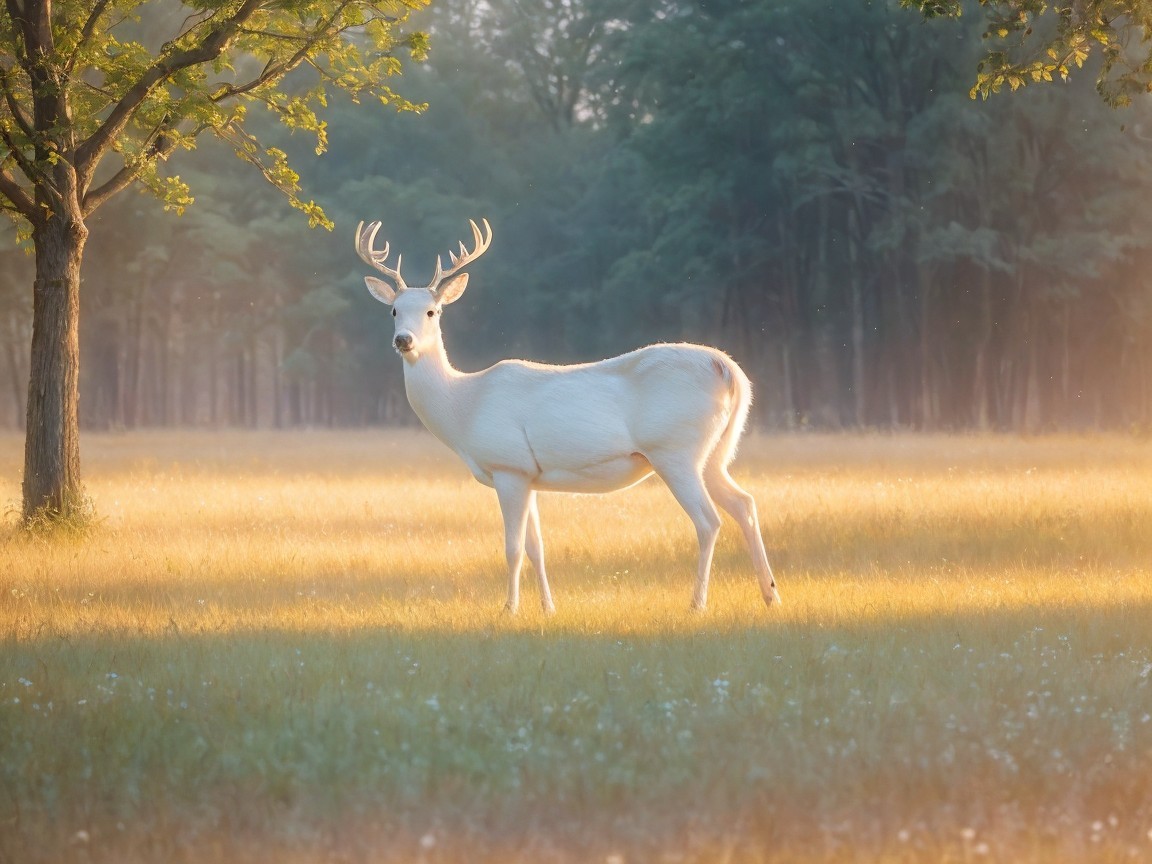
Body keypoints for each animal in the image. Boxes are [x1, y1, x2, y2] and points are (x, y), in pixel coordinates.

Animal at [355, 218, 780, 614]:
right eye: (394, 310)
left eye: (433, 311)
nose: (404, 340)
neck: (463, 407)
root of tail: (728, 369)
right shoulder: (529, 476)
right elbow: (536, 547)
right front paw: (548, 607)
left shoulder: (508, 466)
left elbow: (512, 548)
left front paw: (509, 609)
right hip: (715, 452)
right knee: (744, 503)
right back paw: (770, 595)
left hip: (675, 449)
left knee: (709, 520)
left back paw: (697, 603)